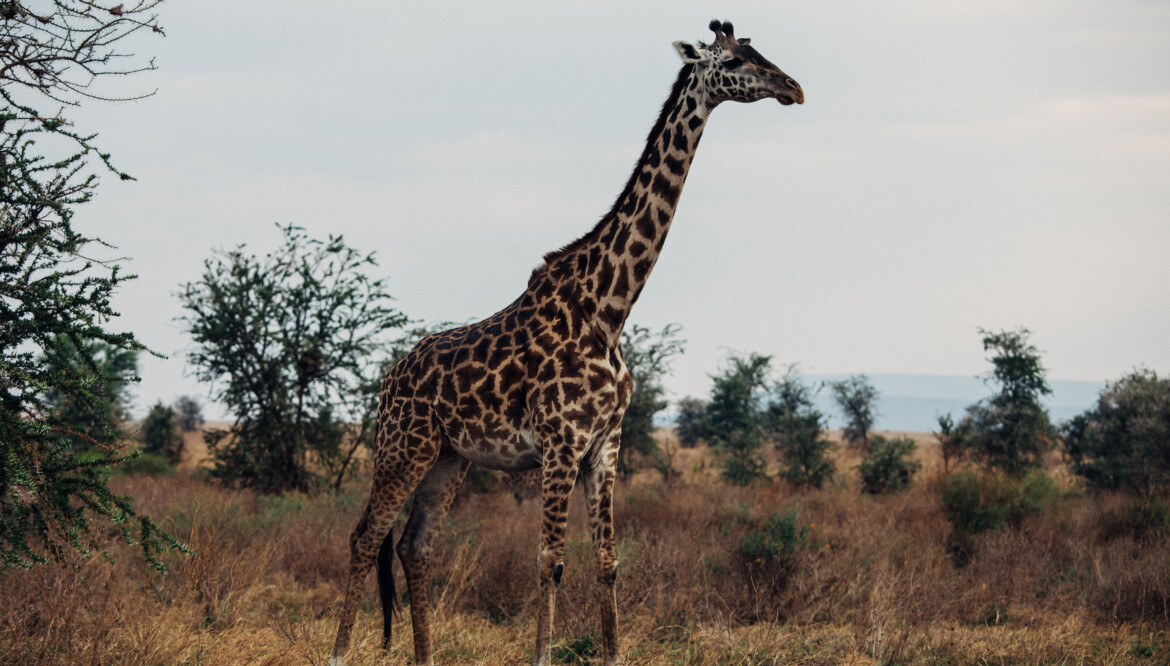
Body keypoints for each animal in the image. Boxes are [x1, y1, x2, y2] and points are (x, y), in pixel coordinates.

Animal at [332, 20, 804, 664]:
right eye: (732, 60)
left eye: (759, 50)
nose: (793, 88)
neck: (610, 308)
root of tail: (388, 378)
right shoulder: (561, 442)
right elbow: (549, 562)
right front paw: (543, 653)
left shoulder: (605, 443)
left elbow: (607, 563)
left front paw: (614, 652)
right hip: (403, 448)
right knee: (364, 537)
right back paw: (338, 650)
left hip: (449, 458)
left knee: (414, 546)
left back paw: (425, 656)